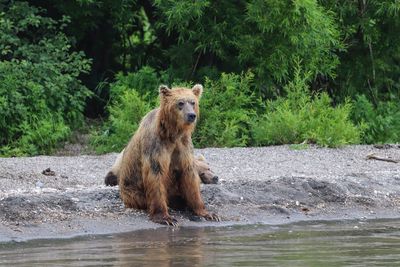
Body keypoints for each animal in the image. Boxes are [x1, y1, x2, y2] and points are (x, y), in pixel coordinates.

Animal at [117, 84, 219, 226]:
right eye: (180, 103)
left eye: (193, 102)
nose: (191, 115)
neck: (172, 133)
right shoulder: (156, 146)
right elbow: (156, 175)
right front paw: (166, 218)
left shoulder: (183, 146)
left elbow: (190, 174)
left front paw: (207, 213)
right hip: (132, 191)